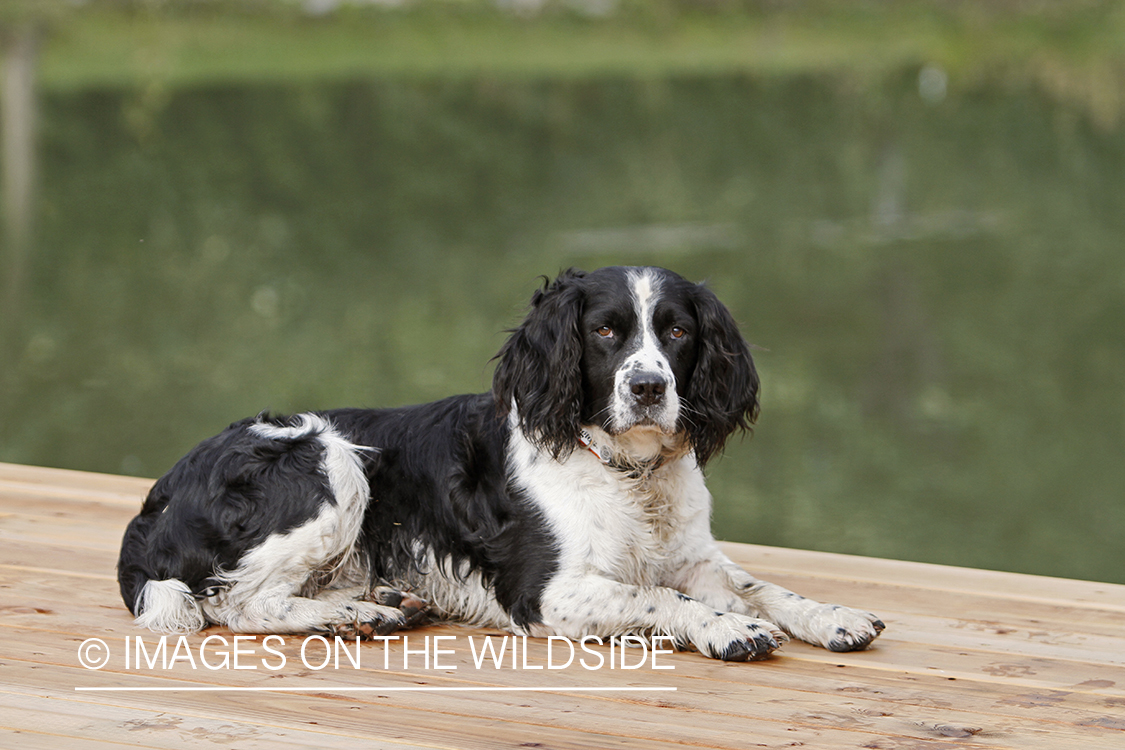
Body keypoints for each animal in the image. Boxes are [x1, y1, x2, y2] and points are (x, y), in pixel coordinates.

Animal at [118, 266, 882, 661]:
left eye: (676, 330)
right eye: (605, 330)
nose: (647, 388)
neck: (625, 471)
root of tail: (160, 495)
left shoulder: (693, 555)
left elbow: (762, 586)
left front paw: (832, 615)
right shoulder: (548, 593)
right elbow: (661, 597)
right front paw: (727, 629)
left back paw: (382, 604)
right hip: (328, 460)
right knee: (239, 602)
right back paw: (352, 617)